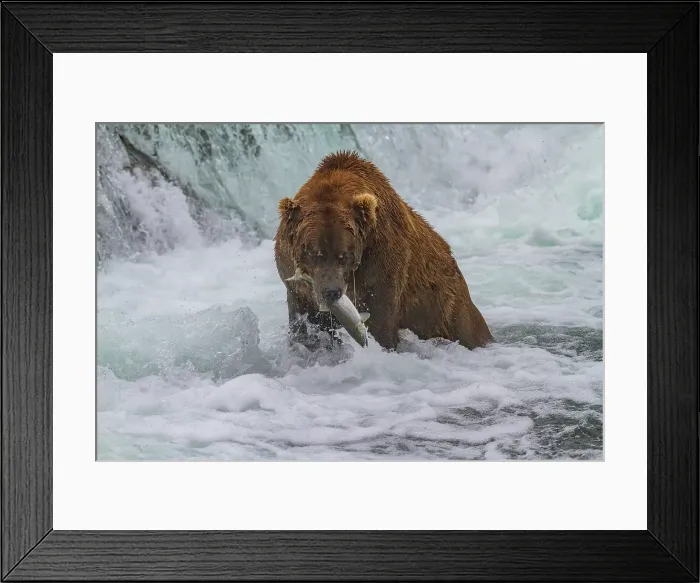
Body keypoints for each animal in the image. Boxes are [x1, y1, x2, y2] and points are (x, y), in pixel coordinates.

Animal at [274, 150, 493, 352]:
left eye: (344, 255)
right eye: (313, 253)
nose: (331, 292)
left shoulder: (381, 265)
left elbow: (381, 323)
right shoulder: (295, 285)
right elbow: (305, 324)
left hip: (447, 311)